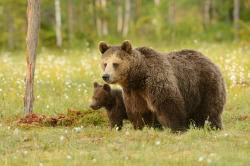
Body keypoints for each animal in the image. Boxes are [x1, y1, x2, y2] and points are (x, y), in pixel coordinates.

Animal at [98, 40, 227, 132]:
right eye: (105, 63)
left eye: (115, 64)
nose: (105, 76)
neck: (139, 78)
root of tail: (210, 60)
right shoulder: (133, 92)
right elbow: (138, 110)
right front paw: (141, 127)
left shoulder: (156, 81)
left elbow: (168, 104)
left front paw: (176, 128)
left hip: (205, 85)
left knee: (209, 110)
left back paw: (212, 126)